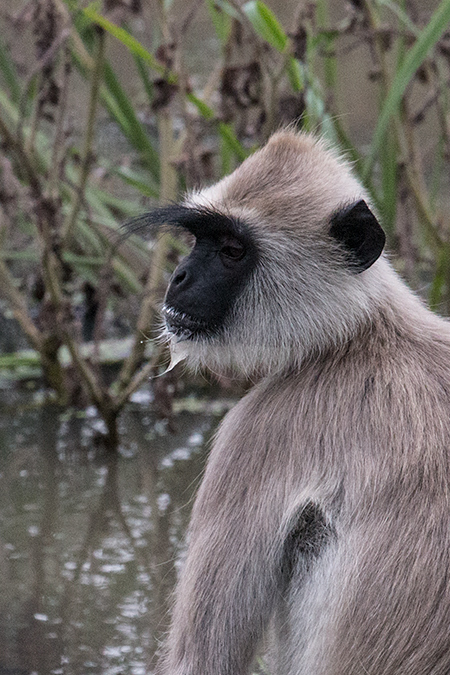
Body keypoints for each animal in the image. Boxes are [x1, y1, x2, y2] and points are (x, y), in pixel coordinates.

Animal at [141, 132, 450, 675]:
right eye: (200, 240)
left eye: (231, 250)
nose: (179, 277)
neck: (362, 336)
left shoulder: (260, 430)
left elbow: (203, 659)